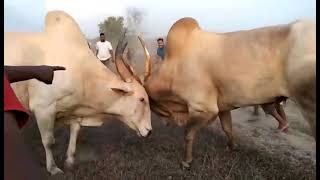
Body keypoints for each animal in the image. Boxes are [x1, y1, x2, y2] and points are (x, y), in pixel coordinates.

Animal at [118, 17, 316, 168]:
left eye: (143, 100)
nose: (147, 131)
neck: (175, 67)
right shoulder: (224, 108)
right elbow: (228, 129)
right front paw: (232, 147)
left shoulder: (203, 109)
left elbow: (188, 134)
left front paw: (186, 162)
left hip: (309, 106)